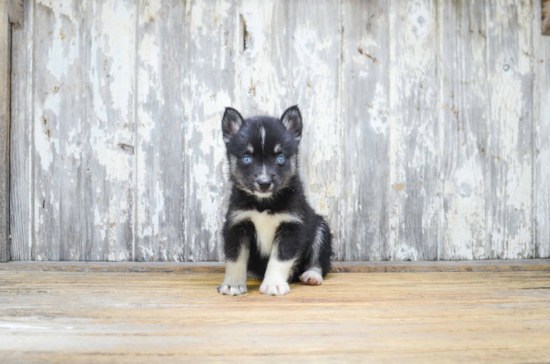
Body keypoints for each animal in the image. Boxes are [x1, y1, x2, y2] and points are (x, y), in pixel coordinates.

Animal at [219, 104, 332, 296]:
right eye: (246, 158)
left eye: (280, 158)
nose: (264, 183)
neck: (264, 204)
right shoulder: (237, 224)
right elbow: (235, 258)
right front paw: (233, 284)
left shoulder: (292, 226)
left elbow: (280, 258)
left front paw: (273, 284)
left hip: (320, 228)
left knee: (319, 260)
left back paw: (311, 275)